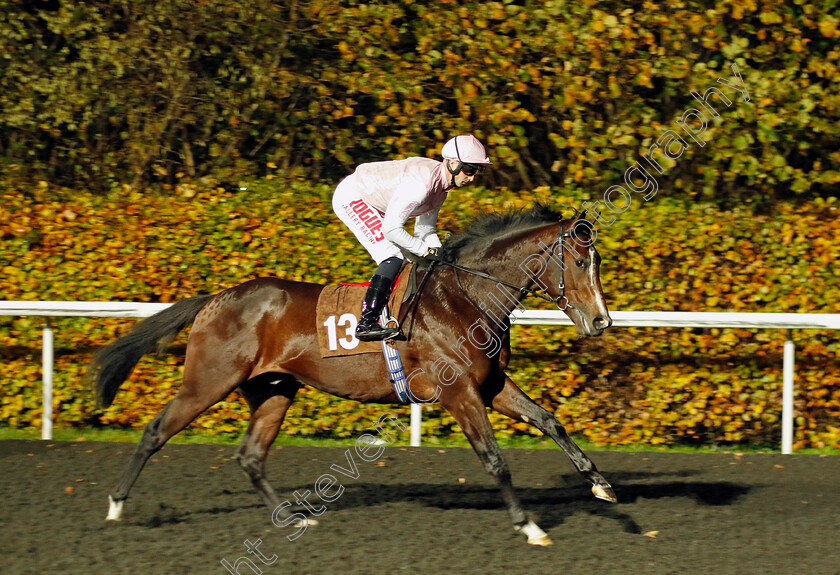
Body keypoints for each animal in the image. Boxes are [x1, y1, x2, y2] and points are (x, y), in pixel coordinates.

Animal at [88, 205, 616, 548]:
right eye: (579, 261)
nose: (601, 321)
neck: (466, 297)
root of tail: (215, 299)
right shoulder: (458, 392)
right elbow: (494, 459)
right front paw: (529, 525)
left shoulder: (489, 385)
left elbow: (549, 420)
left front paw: (600, 484)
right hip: (208, 381)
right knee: (156, 431)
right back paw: (114, 507)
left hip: (274, 390)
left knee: (251, 456)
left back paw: (293, 519)